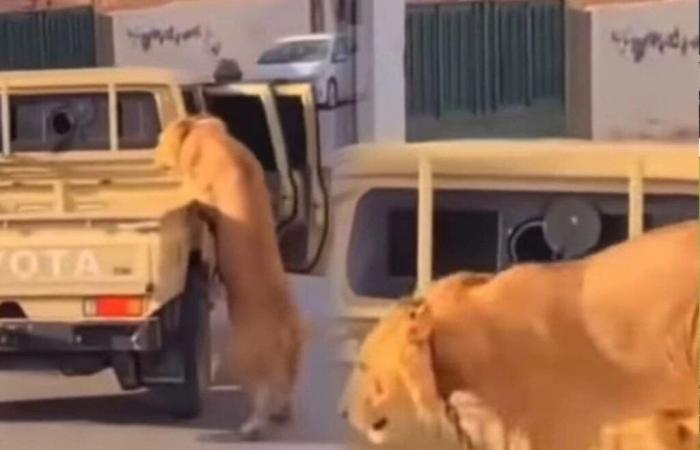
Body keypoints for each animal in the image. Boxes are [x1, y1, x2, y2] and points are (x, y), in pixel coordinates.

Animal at [156, 115, 304, 440]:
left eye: (162, 138)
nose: (152, 154)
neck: (211, 138)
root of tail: (285, 330)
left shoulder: (203, 188)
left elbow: (198, 194)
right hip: (291, 359)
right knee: (286, 388)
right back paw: (282, 413)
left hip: (243, 354)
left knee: (262, 394)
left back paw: (251, 427)